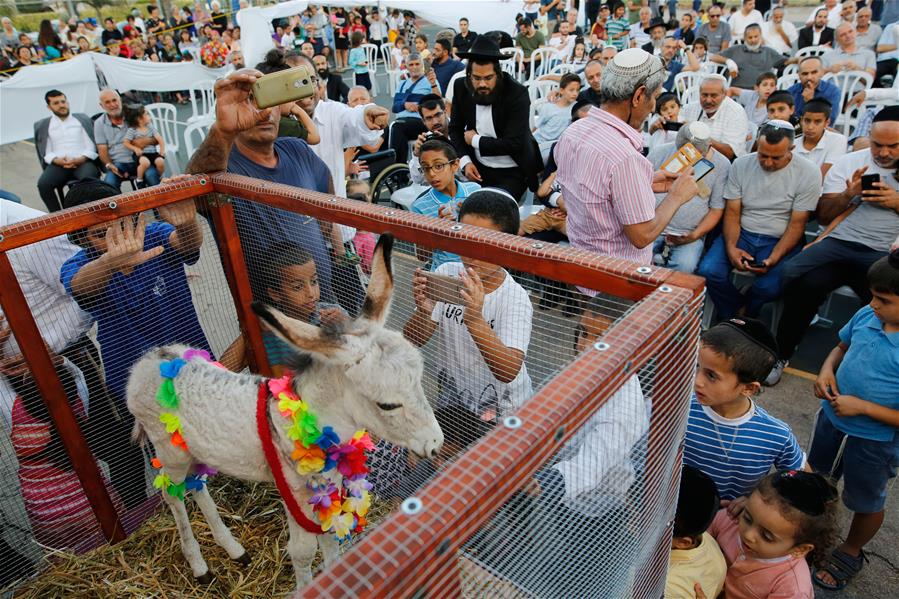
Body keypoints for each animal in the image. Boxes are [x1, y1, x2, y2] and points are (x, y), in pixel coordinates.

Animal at [125, 234, 442, 592]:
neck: (308, 423)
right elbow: (302, 552)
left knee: (198, 486)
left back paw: (234, 549)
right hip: (170, 452)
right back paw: (199, 566)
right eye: (387, 404)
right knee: (172, 495)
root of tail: (147, 362)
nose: (435, 444)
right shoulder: (295, 493)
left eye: (419, 380)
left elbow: (330, 538)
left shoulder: (327, 487)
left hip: (193, 450)